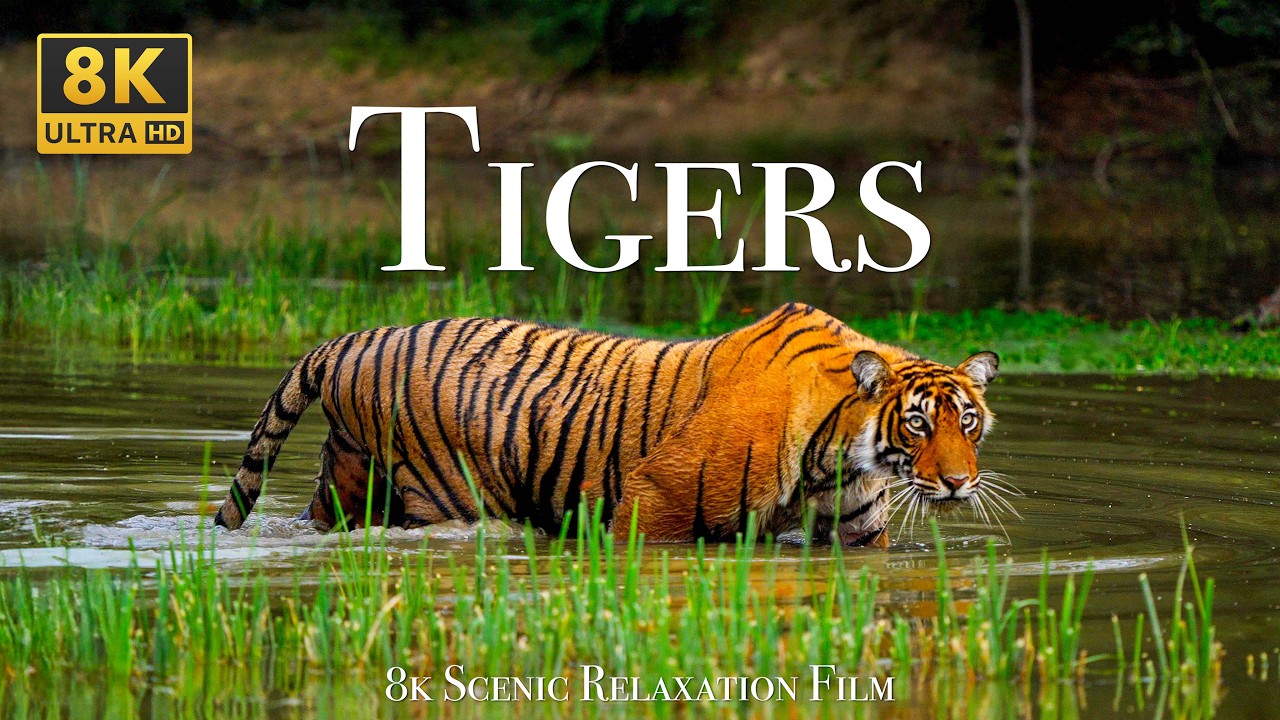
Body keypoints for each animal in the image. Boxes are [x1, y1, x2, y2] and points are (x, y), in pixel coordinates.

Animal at [213, 303, 1003, 547]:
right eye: (917, 425)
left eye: (967, 421)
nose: (959, 483)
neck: (841, 451)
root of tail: (351, 338)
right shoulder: (657, 499)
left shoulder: (856, 532)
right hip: (442, 494)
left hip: (346, 480)